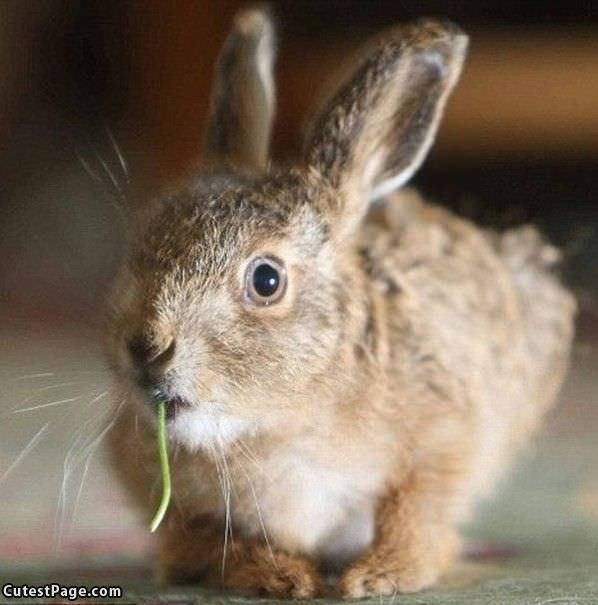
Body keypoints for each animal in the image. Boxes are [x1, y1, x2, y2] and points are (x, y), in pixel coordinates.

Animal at [105, 7, 580, 596]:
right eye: (139, 252)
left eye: (266, 280)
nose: (145, 348)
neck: (285, 417)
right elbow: (211, 542)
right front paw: (277, 577)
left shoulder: (443, 440)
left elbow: (415, 514)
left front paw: (381, 576)